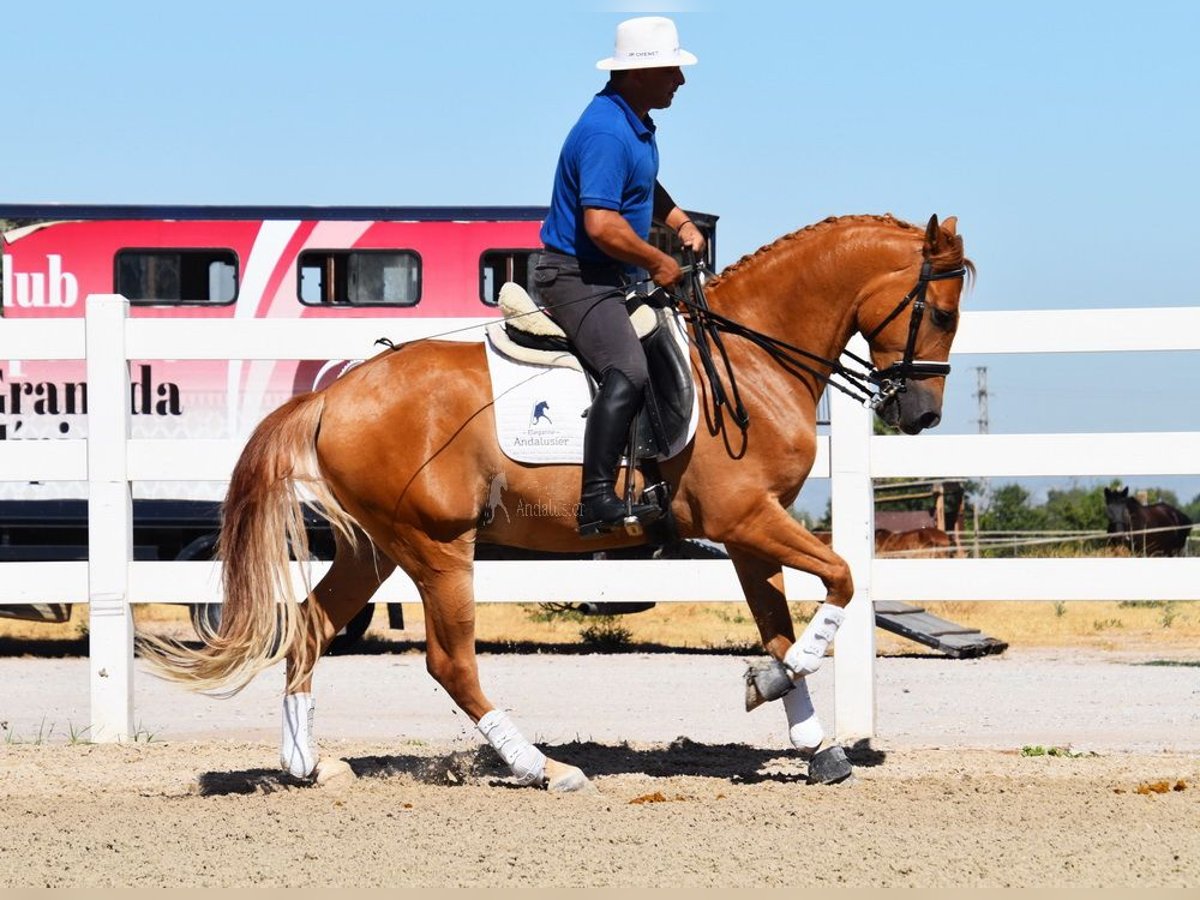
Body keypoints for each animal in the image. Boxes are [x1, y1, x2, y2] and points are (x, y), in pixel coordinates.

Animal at [136, 214, 969, 792]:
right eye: (940, 312)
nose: (923, 413)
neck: (754, 356)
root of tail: (331, 396)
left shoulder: (745, 534)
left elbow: (778, 627)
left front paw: (814, 742)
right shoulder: (746, 519)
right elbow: (842, 581)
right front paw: (773, 690)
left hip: (374, 548)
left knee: (309, 627)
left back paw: (308, 763)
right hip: (437, 547)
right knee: (449, 662)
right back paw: (543, 767)